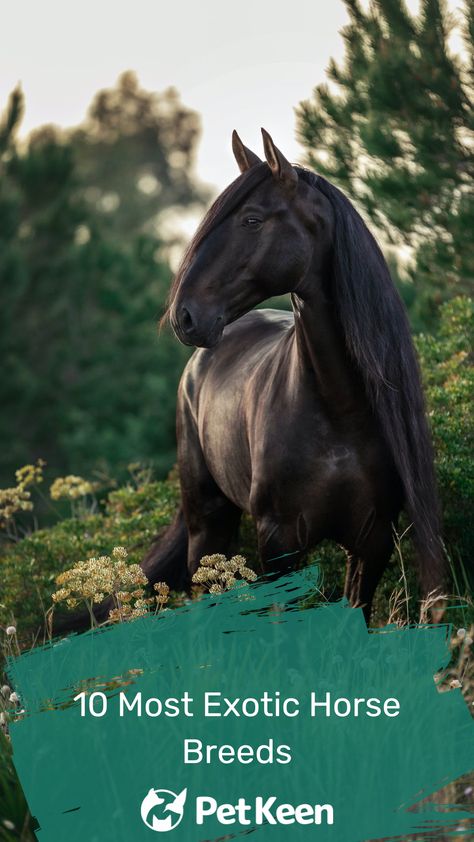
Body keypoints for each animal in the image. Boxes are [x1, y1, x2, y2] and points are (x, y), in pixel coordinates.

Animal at [142, 128, 444, 620]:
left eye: (251, 219)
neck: (340, 410)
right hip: (208, 523)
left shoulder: (373, 542)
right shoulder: (279, 545)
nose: (184, 317)